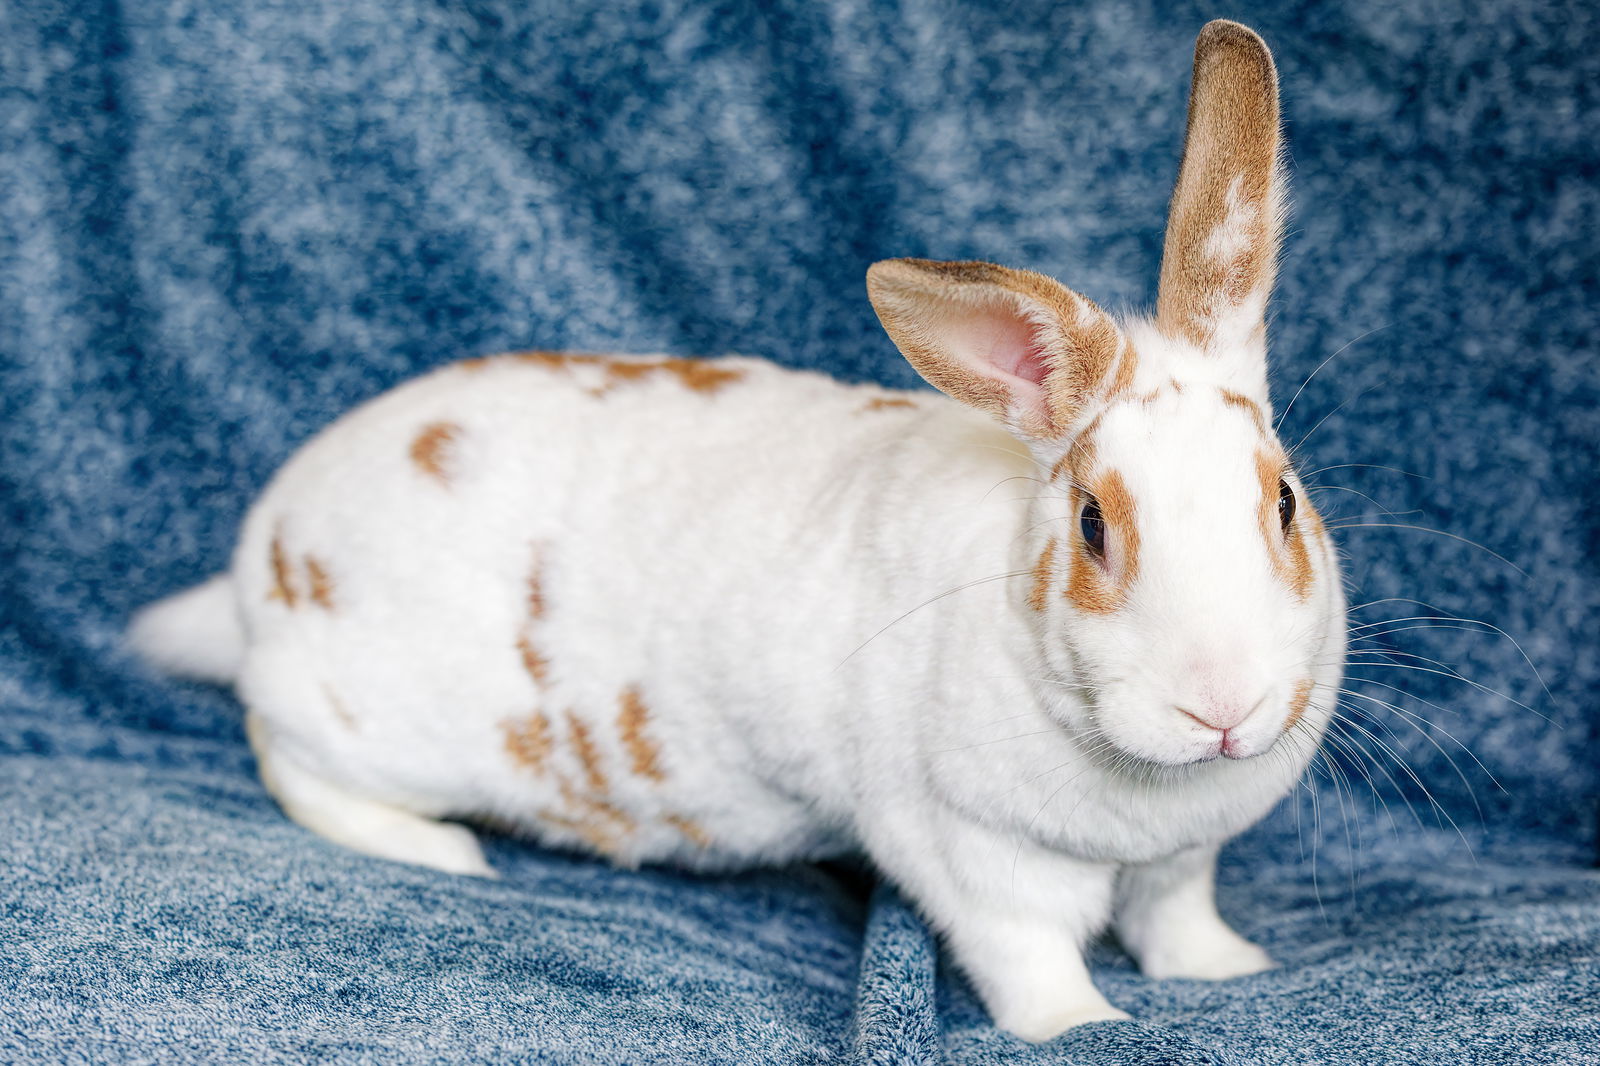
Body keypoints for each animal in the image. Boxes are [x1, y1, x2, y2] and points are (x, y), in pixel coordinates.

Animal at [131, 20, 1344, 1043]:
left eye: (1284, 500)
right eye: (1093, 524)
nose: (1223, 707)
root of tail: (261, 552)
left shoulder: (1182, 859)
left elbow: (1176, 918)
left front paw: (1229, 970)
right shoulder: (969, 852)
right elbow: (1027, 959)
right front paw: (1084, 1025)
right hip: (356, 720)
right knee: (287, 761)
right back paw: (445, 852)